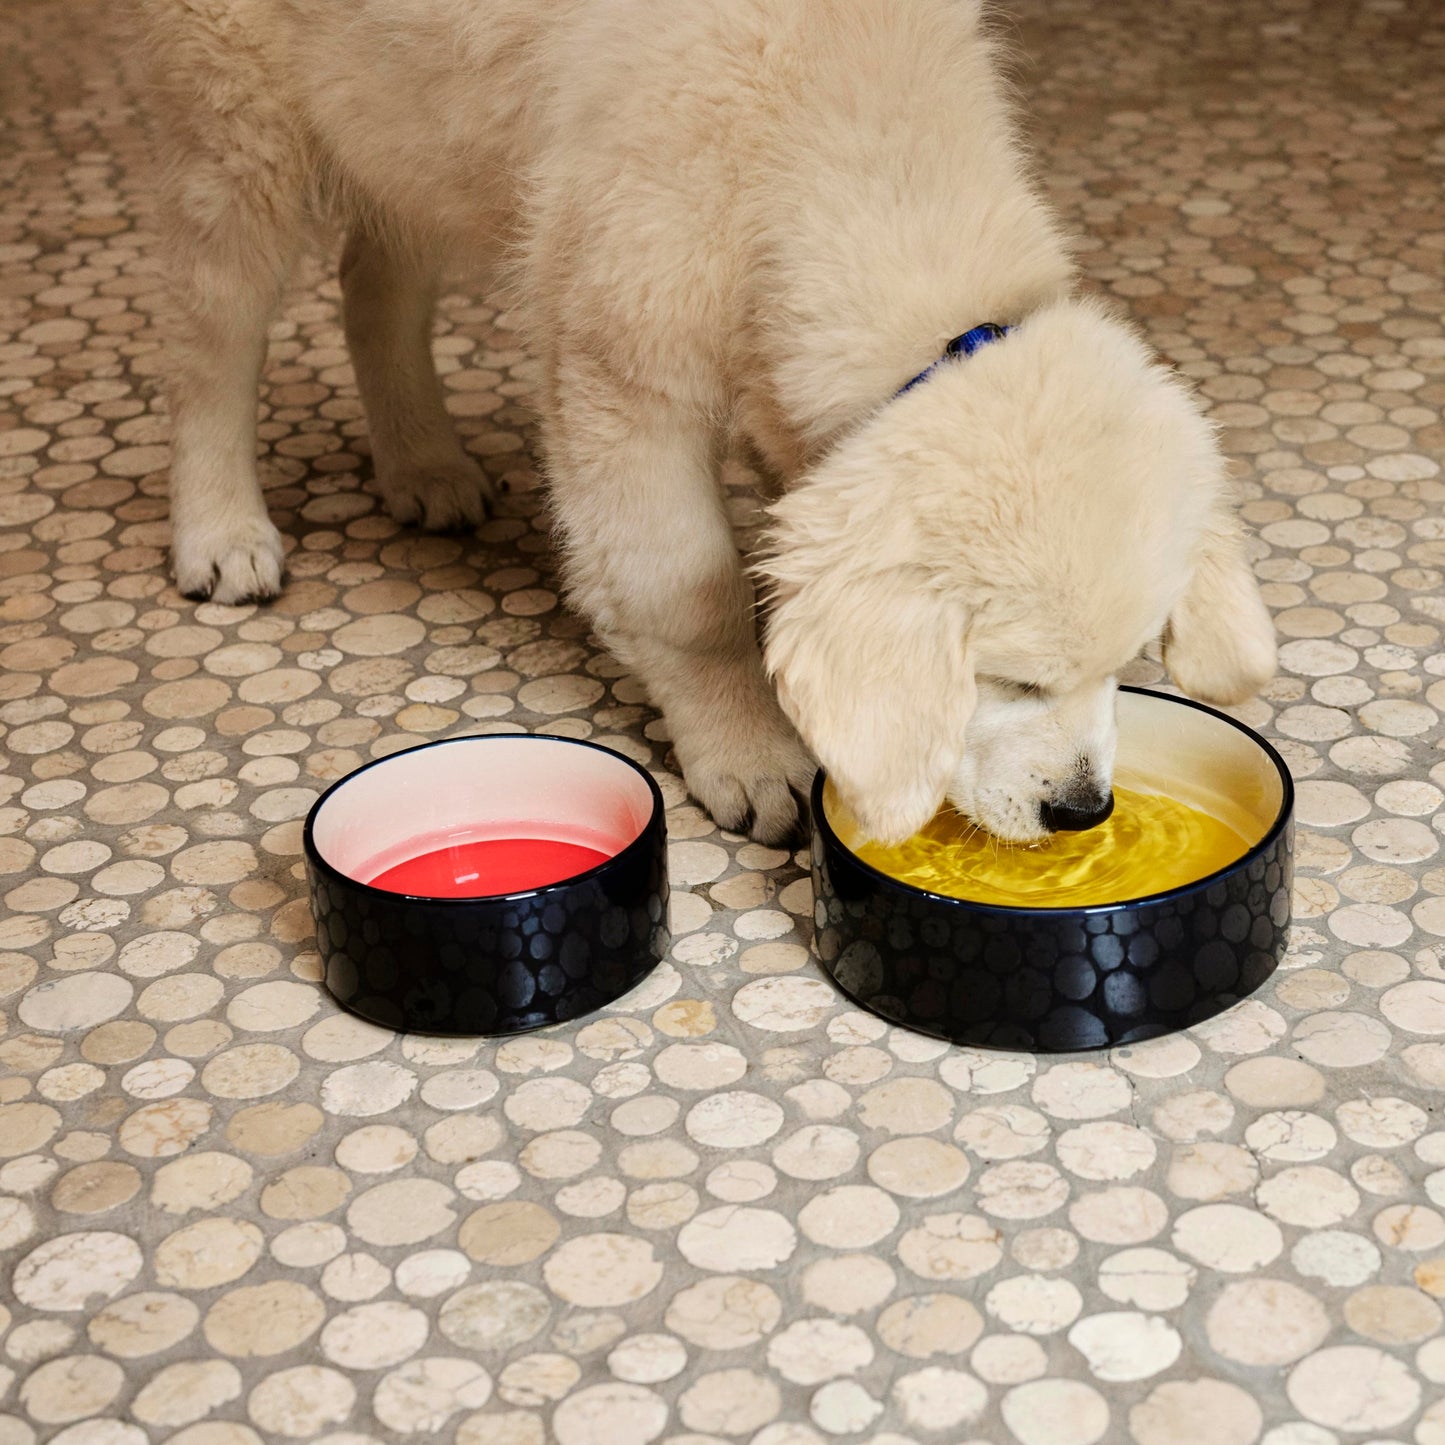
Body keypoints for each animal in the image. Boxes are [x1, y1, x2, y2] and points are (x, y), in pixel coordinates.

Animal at [140, 0, 1277, 843]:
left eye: (1126, 663)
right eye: (1012, 677)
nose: (1081, 810)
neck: (834, 145)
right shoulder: (621, 369)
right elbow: (685, 591)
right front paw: (748, 750)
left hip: (413, 120)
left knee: (375, 274)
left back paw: (422, 462)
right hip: (236, 120)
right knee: (210, 335)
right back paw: (223, 530)